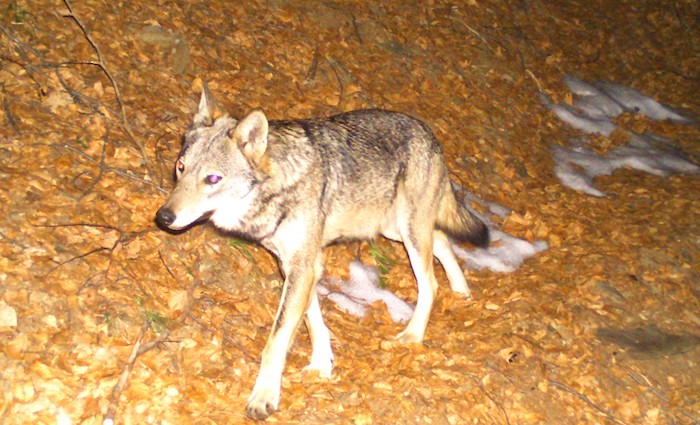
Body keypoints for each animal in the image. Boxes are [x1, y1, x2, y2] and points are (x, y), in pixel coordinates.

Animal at [155, 84, 489, 420]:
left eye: (212, 179)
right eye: (180, 168)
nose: (163, 217)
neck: (277, 188)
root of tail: (426, 130)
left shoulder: (302, 267)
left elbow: (276, 339)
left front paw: (264, 397)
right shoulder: (300, 265)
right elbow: (313, 321)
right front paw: (321, 364)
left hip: (407, 231)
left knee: (430, 281)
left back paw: (414, 334)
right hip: (394, 228)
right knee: (443, 239)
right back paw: (461, 290)